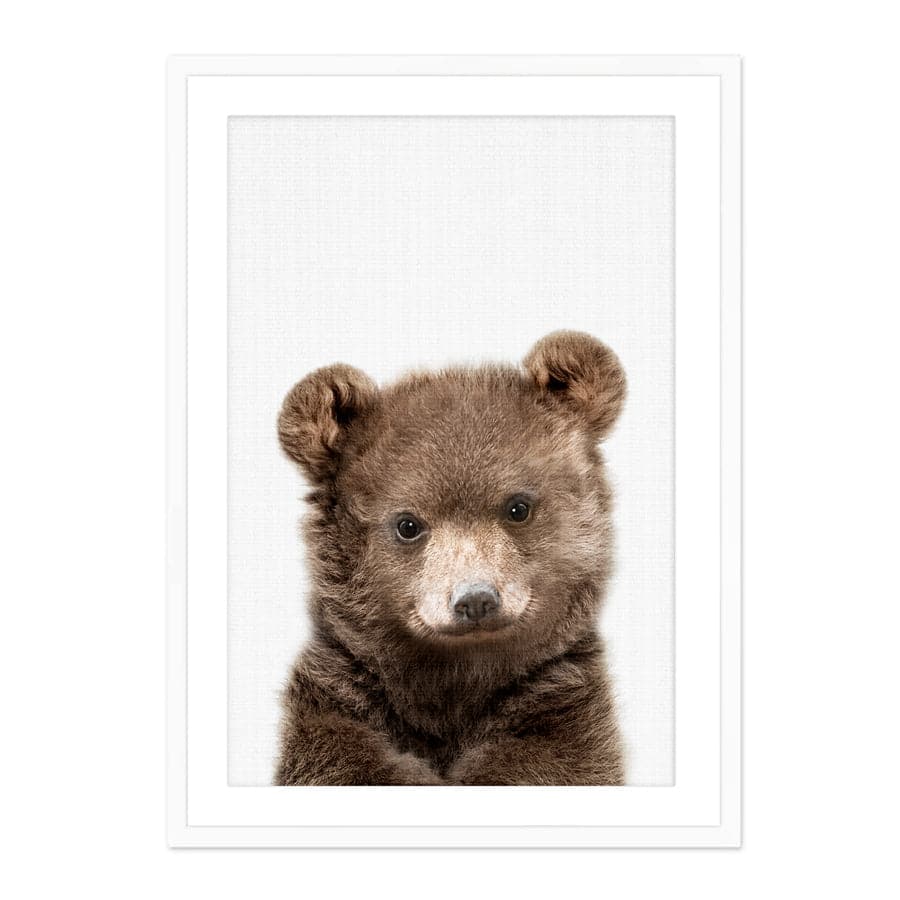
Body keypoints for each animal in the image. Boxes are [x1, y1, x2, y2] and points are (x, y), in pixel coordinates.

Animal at [273, 330, 627, 785]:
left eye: (518, 507)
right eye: (407, 524)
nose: (475, 599)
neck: (454, 682)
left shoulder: (561, 708)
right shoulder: (341, 702)